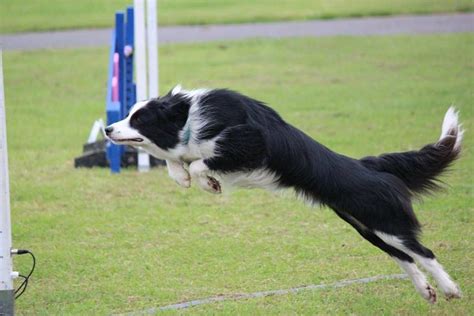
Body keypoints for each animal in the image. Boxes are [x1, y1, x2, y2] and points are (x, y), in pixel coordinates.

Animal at [106, 85, 462, 302]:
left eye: (139, 119)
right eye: (127, 114)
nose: (108, 129)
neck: (188, 119)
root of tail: (369, 166)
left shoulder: (249, 143)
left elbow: (198, 161)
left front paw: (207, 182)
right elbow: (178, 162)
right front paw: (189, 178)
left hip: (387, 222)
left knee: (424, 252)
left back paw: (450, 289)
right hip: (368, 228)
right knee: (404, 257)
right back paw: (427, 291)